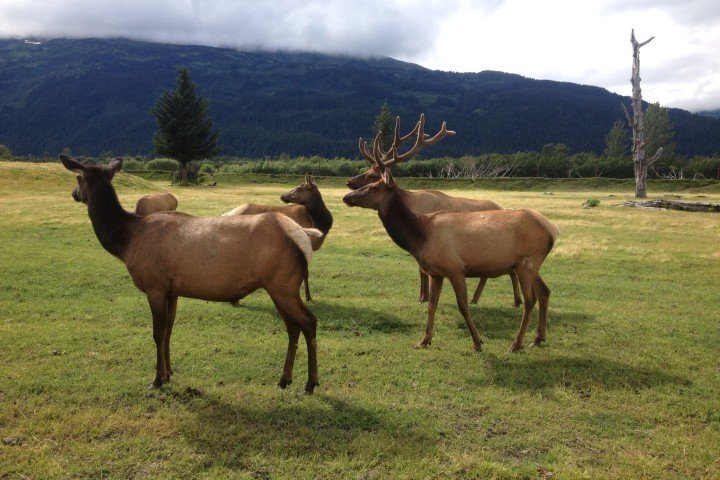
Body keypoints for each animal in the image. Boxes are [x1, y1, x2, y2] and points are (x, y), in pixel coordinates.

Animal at [60, 155, 321, 393]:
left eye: (78, 177)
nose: (74, 193)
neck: (127, 241)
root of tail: (303, 235)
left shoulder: (154, 286)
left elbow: (157, 333)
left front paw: (157, 380)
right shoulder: (172, 290)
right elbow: (168, 330)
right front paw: (169, 373)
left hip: (283, 284)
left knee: (309, 321)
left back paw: (310, 383)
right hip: (277, 287)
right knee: (293, 327)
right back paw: (284, 380)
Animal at [342, 159, 559, 353]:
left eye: (372, 186)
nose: (346, 196)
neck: (420, 238)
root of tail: (552, 230)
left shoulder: (456, 269)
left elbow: (462, 306)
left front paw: (478, 342)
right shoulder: (436, 273)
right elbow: (432, 304)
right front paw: (424, 340)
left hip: (526, 264)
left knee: (530, 300)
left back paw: (516, 344)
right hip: (530, 265)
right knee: (545, 291)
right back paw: (538, 338)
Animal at [347, 114, 521, 307]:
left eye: (372, 176)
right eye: (367, 169)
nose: (349, 182)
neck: (413, 205)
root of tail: (502, 206)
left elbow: (423, 271)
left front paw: (424, 296)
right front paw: (423, 295)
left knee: (510, 270)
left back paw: (515, 301)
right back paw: (476, 299)